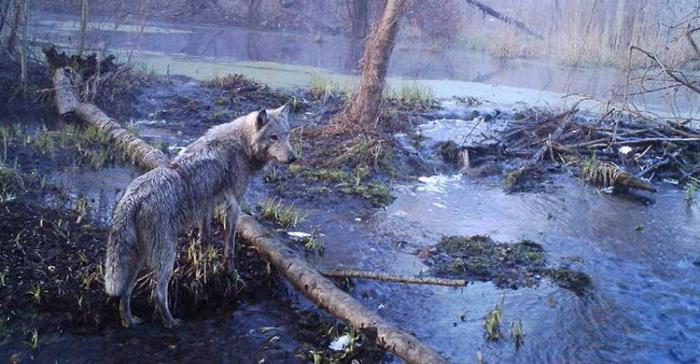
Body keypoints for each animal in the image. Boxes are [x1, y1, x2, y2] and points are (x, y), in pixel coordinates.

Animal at [102, 101, 294, 328]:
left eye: (286, 134)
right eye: (273, 137)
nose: (293, 158)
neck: (241, 145)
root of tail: (133, 198)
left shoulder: (207, 205)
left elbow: (205, 238)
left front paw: (205, 265)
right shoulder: (234, 206)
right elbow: (230, 248)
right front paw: (232, 274)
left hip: (139, 258)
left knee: (125, 293)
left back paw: (130, 322)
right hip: (166, 256)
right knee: (158, 294)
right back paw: (172, 323)